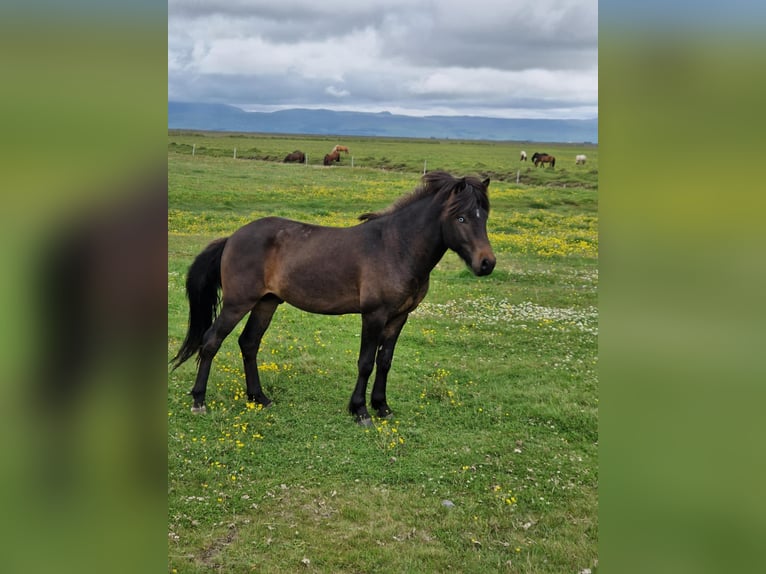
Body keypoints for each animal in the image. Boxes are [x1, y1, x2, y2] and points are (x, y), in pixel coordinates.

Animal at [170, 171, 496, 425]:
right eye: (461, 217)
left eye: (484, 218)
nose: (487, 264)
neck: (396, 247)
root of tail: (232, 238)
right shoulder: (374, 315)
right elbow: (366, 362)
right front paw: (360, 411)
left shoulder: (399, 317)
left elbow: (385, 361)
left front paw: (382, 407)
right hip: (238, 303)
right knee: (211, 341)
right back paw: (199, 401)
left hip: (266, 302)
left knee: (249, 343)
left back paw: (259, 397)